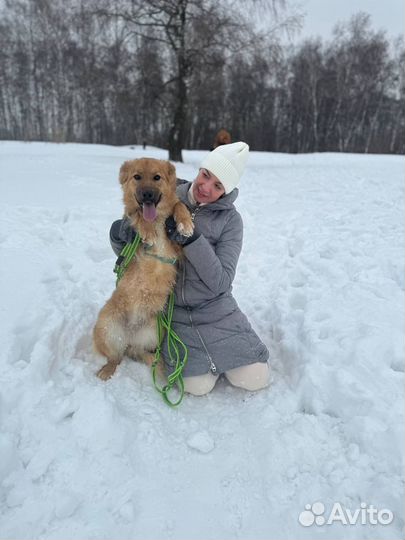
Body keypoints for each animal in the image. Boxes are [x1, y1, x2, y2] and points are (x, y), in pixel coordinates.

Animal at [92, 158, 193, 382]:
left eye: (157, 177)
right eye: (137, 177)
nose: (147, 194)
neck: (157, 222)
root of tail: (130, 335)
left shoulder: (179, 251)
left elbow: (179, 204)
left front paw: (185, 222)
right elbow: (135, 215)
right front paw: (146, 230)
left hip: (156, 332)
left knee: (134, 352)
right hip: (106, 326)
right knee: (115, 357)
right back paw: (107, 370)